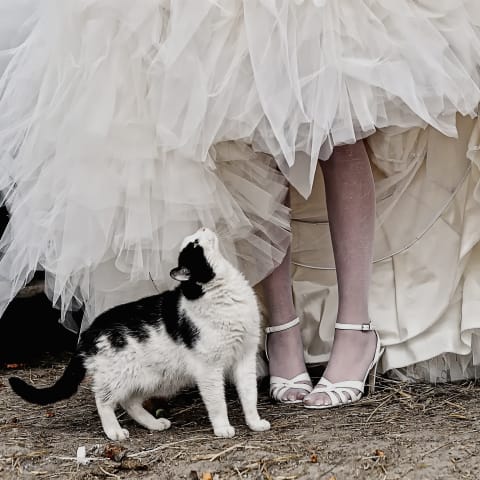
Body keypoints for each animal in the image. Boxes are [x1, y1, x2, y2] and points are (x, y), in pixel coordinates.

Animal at [9, 227, 270, 440]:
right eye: (194, 244)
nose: (204, 227)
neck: (220, 291)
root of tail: (89, 331)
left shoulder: (245, 357)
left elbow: (250, 395)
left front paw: (254, 423)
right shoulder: (209, 368)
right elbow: (217, 402)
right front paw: (222, 428)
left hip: (148, 378)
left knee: (129, 402)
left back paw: (154, 424)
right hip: (118, 376)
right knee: (103, 400)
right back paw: (114, 432)